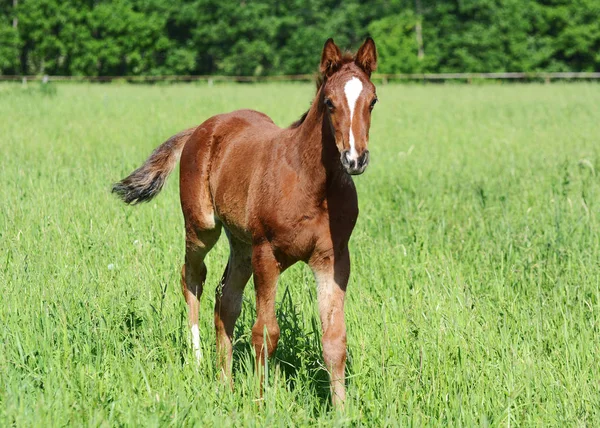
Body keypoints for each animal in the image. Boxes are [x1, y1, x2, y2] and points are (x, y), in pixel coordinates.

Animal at [112, 36, 378, 404]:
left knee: (225, 300)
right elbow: (265, 332)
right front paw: (261, 402)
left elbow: (335, 339)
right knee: (192, 277)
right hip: (203, 228)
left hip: (241, 244)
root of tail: (202, 127)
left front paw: (342, 409)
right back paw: (198, 361)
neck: (312, 185)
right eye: (329, 103)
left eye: (372, 101)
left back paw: (225, 382)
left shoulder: (332, 259)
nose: (355, 159)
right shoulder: (266, 253)